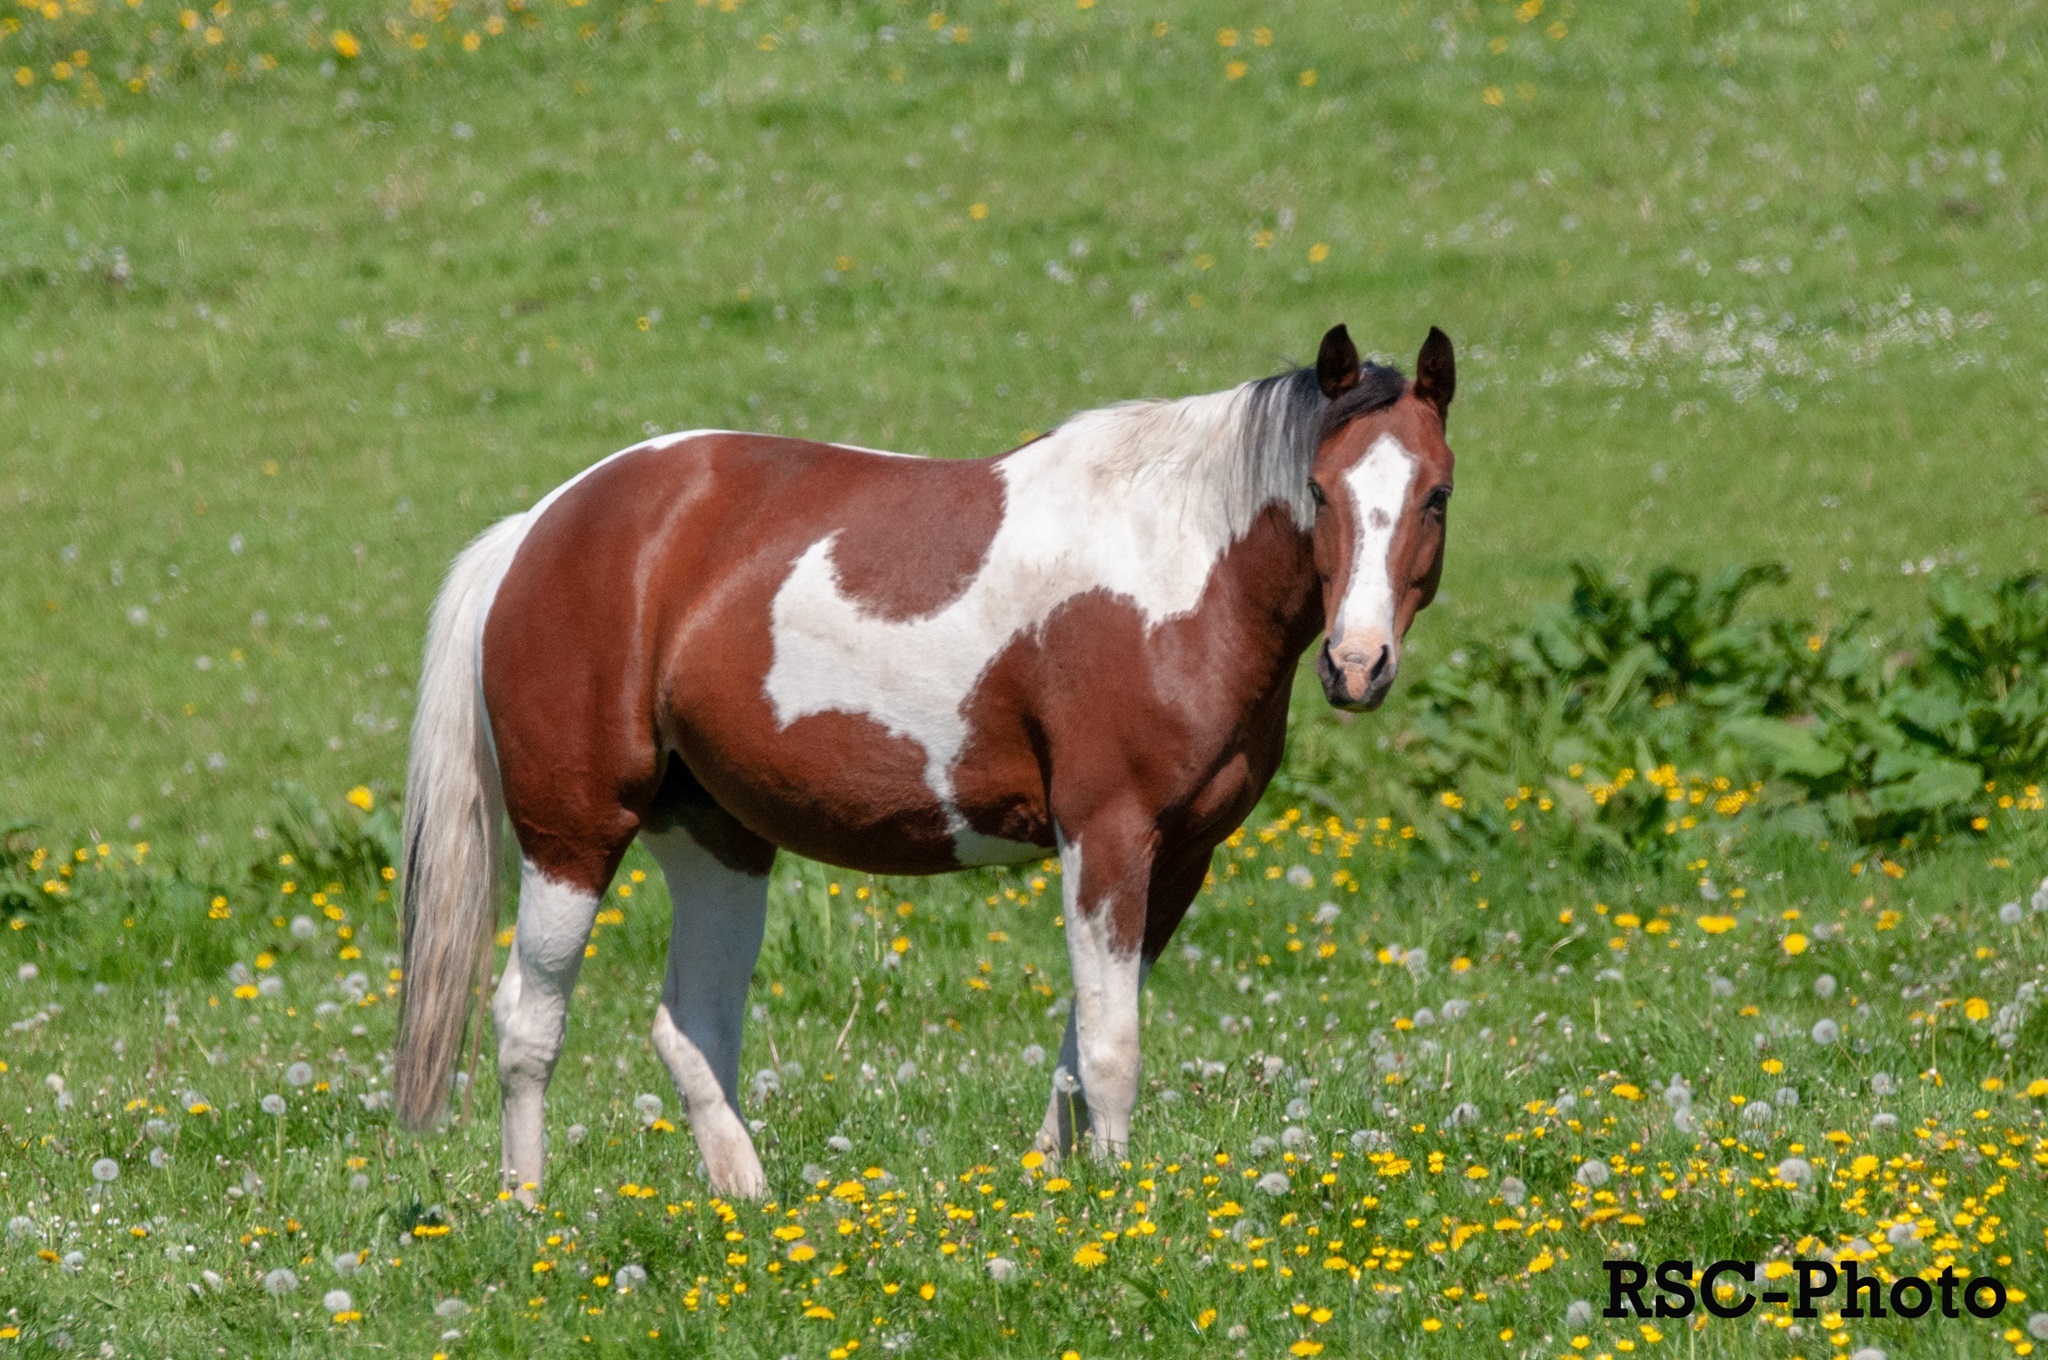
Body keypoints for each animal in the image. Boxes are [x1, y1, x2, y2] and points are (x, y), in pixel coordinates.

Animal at [391, 322, 1456, 1201]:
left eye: (1435, 495)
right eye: (1318, 490)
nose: (1358, 665)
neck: (1175, 570)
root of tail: (538, 529)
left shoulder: (1178, 854)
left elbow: (1079, 1041)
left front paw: (1055, 1183)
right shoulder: (1107, 834)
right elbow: (1112, 1048)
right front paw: (1122, 1204)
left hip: (716, 840)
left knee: (692, 1023)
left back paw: (749, 1204)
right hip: (573, 834)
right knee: (527, 1018)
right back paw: (531, 1214)